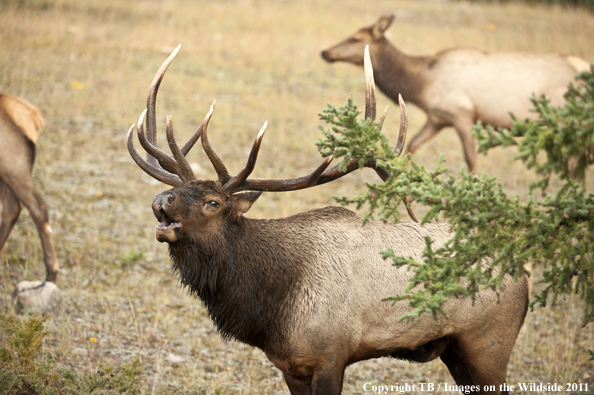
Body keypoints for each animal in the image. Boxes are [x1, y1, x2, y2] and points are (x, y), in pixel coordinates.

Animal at [127, 44, 528, 394]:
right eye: (177, 190)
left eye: (212, 202)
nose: (161, 200)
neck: (271, 309)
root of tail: (524, 274)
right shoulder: (290, 365)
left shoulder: (330, 356)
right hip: (456, 350)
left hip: (487, 344)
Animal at [322, 14, 588, 172]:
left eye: (355, 38)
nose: (325, 52)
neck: (421, 85)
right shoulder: (437, 118)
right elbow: (411, 146)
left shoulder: (463, 115)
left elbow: (471, 160)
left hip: (564, 122)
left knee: (574, 163)